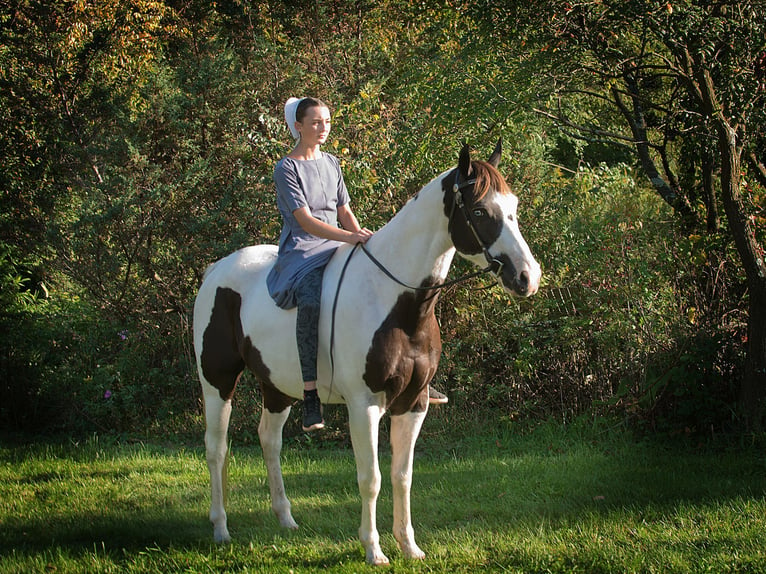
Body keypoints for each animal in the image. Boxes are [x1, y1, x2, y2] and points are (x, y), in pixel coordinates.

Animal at [194, 141, 540, 568]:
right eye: (479, 211)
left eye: (513, 207)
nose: (527, 277)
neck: (396, 302)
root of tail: (215, 271)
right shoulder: (365, 406)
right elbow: (370, 478)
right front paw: (374, 549)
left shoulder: (414, 404)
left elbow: (402, 475)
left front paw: (409, 545)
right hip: (217, 381)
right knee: (216, 448)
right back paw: (221, 527)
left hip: (277, 386)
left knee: (269, 440)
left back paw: (286, 518)